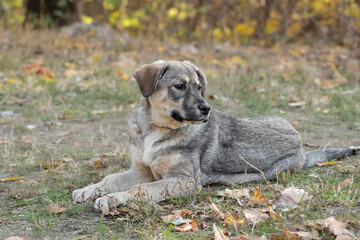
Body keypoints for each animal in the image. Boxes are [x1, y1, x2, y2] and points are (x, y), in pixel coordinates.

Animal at [72, 60, 358, 212]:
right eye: (179, 86)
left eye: (200, 87)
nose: (206, 109)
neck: (158, 128)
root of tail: (301, 146)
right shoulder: (142, 169)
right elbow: (111, 178)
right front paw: (90, 190)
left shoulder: (183, 180)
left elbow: (139, 189)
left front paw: (113, 199)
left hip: (271, 170)